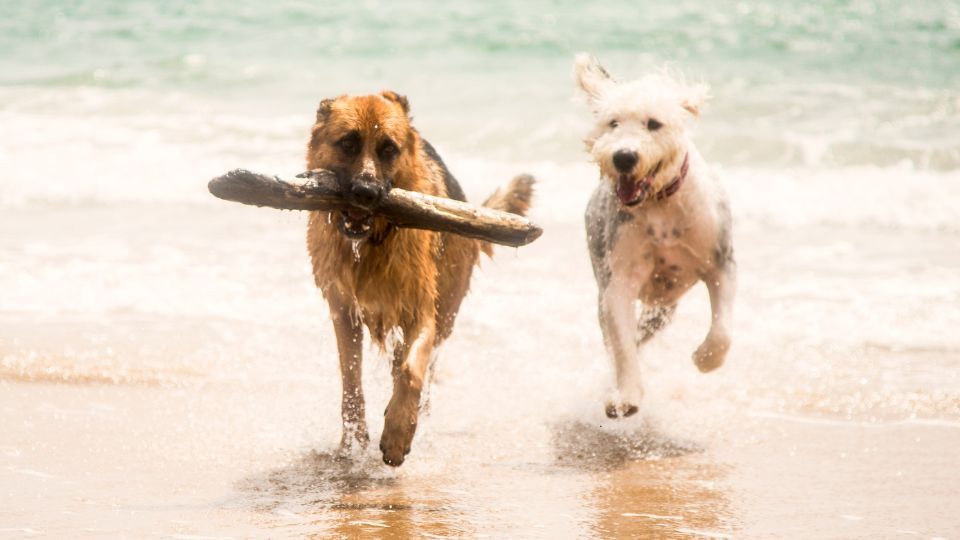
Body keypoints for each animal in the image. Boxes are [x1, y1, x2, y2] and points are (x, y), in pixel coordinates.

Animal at [308, 92, 532, 464]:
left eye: (388, 149)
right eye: (348, 143)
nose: (366, 192)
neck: (371, 243)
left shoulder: (421, 312)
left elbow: (412, 372)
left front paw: (398, 434)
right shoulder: (344, 313)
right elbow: (351, 381)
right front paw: (353, 442)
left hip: (446, 311)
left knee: (419, 370)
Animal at [572, 53, 740, 418]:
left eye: (653, 124)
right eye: (613, 123)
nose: (623, 156)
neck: (660, 204)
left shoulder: (721, 262)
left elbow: (723, 329)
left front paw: (705, 359)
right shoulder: (618, 282)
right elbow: (622, 345)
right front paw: (626, 395)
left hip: (664, 309)